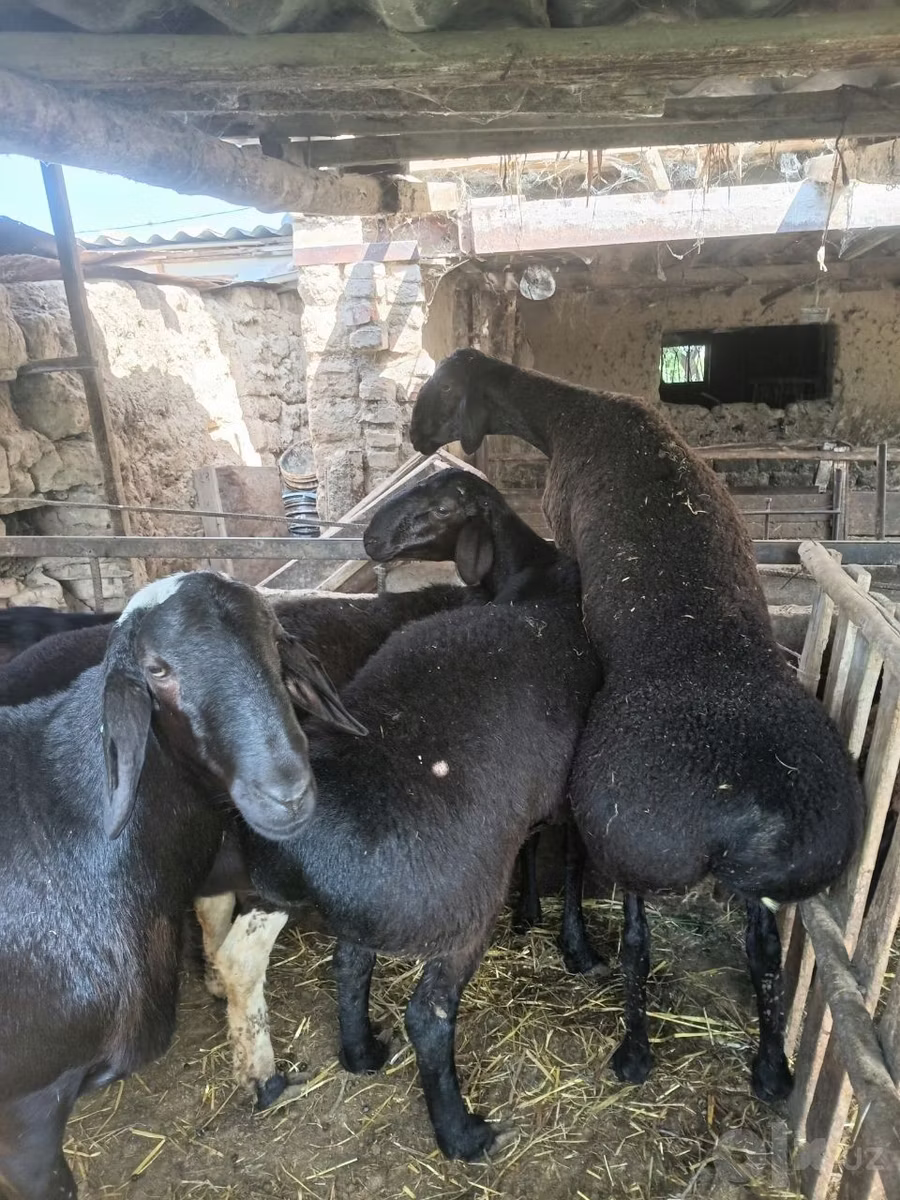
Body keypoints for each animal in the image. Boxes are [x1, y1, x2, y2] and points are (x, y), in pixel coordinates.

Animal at [225, 468, 602, 1160]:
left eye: (448, 502)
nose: (371, 537)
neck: (533, 575)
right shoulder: (572, 787)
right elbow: (572, 862)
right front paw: (577, 945)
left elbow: (535, 846)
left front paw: (532, 915)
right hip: (458, 904)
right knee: (429, 1016)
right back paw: (462, 1133)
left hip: (363, 905)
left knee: (349, 964)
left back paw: (362, 1053)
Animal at [409, 349, 864, 1103]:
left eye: (442, 389)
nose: (415, 436)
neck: (572, 416)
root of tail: (743, 810)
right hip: (776, 874)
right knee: (764, 953)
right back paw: (772, 1069)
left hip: (629, 841)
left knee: (637, 942)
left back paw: (634, 1051)